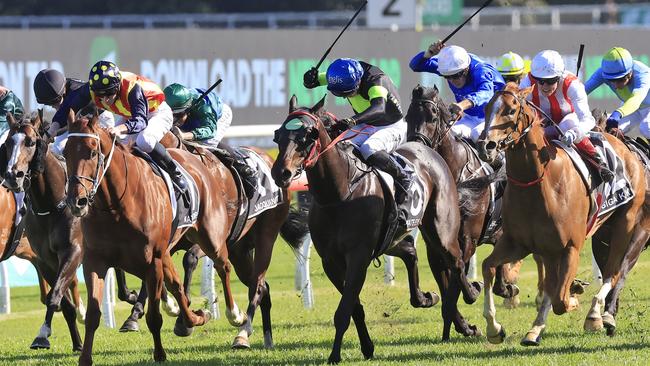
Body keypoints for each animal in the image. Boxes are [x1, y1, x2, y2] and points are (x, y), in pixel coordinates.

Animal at [2, 112, 86, 352]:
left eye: (31, 142)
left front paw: (42, 335)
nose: (12, 176)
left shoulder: (73, 251)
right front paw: (76, 343)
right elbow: (60, 300)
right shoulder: (45, 259)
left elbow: (55, 294)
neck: (51, 204)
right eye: (7, 143)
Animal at [62, 111, 251, 364]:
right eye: (65, 152)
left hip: (210, 237)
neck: (116, 204)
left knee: (223, 266)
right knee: (178, 286)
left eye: (93, 151)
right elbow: (93, 315)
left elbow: (153, 316)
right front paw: (85, 358)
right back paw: (194, 317)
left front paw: (160, 354)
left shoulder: (152, 261)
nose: (77, 201)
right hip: (168, 251)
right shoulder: (95, 261)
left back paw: (235, 315)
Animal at [270, 95, 478, 364]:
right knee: (411, 251)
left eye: (309, 135)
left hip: (441, 227)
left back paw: (471, 297)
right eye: (278, 135)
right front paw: (367, 346)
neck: (339, 194)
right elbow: (354, 308)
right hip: (391, 238)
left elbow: (344, 310)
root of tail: (428, 149)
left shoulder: (358, 257)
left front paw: (335, 355)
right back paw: (427, 300)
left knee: (456, 260)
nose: (281, 172)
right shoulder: (331, 262)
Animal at [408, 85, 544, 308]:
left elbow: (460, 268)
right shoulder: (434, 244)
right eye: (408, 116)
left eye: (433, 116)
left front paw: (474, 289)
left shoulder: (468, 237)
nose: (415, 148)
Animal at [474, 83, 644, 346]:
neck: (538, 183)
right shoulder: (517, 243)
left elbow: (561, 300)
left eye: (511, 110)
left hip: (624, 224)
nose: (485, 146)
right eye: (486, 108)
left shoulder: (571, 247)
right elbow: (488, 266)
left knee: (612, 272)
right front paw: (494, 328)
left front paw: (575, 295)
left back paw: (596, 315)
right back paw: (535, 330)